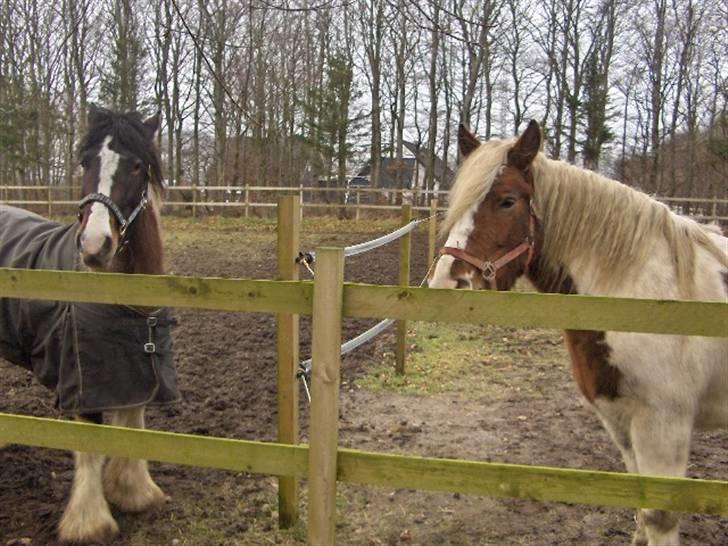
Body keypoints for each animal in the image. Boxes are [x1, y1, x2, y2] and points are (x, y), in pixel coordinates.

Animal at [430, 121, 724, 540]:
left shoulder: (666, 426)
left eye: (507, 201)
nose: (446, 283)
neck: (643, 291)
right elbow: (640, 508)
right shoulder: (621, 422)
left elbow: (658, 518)